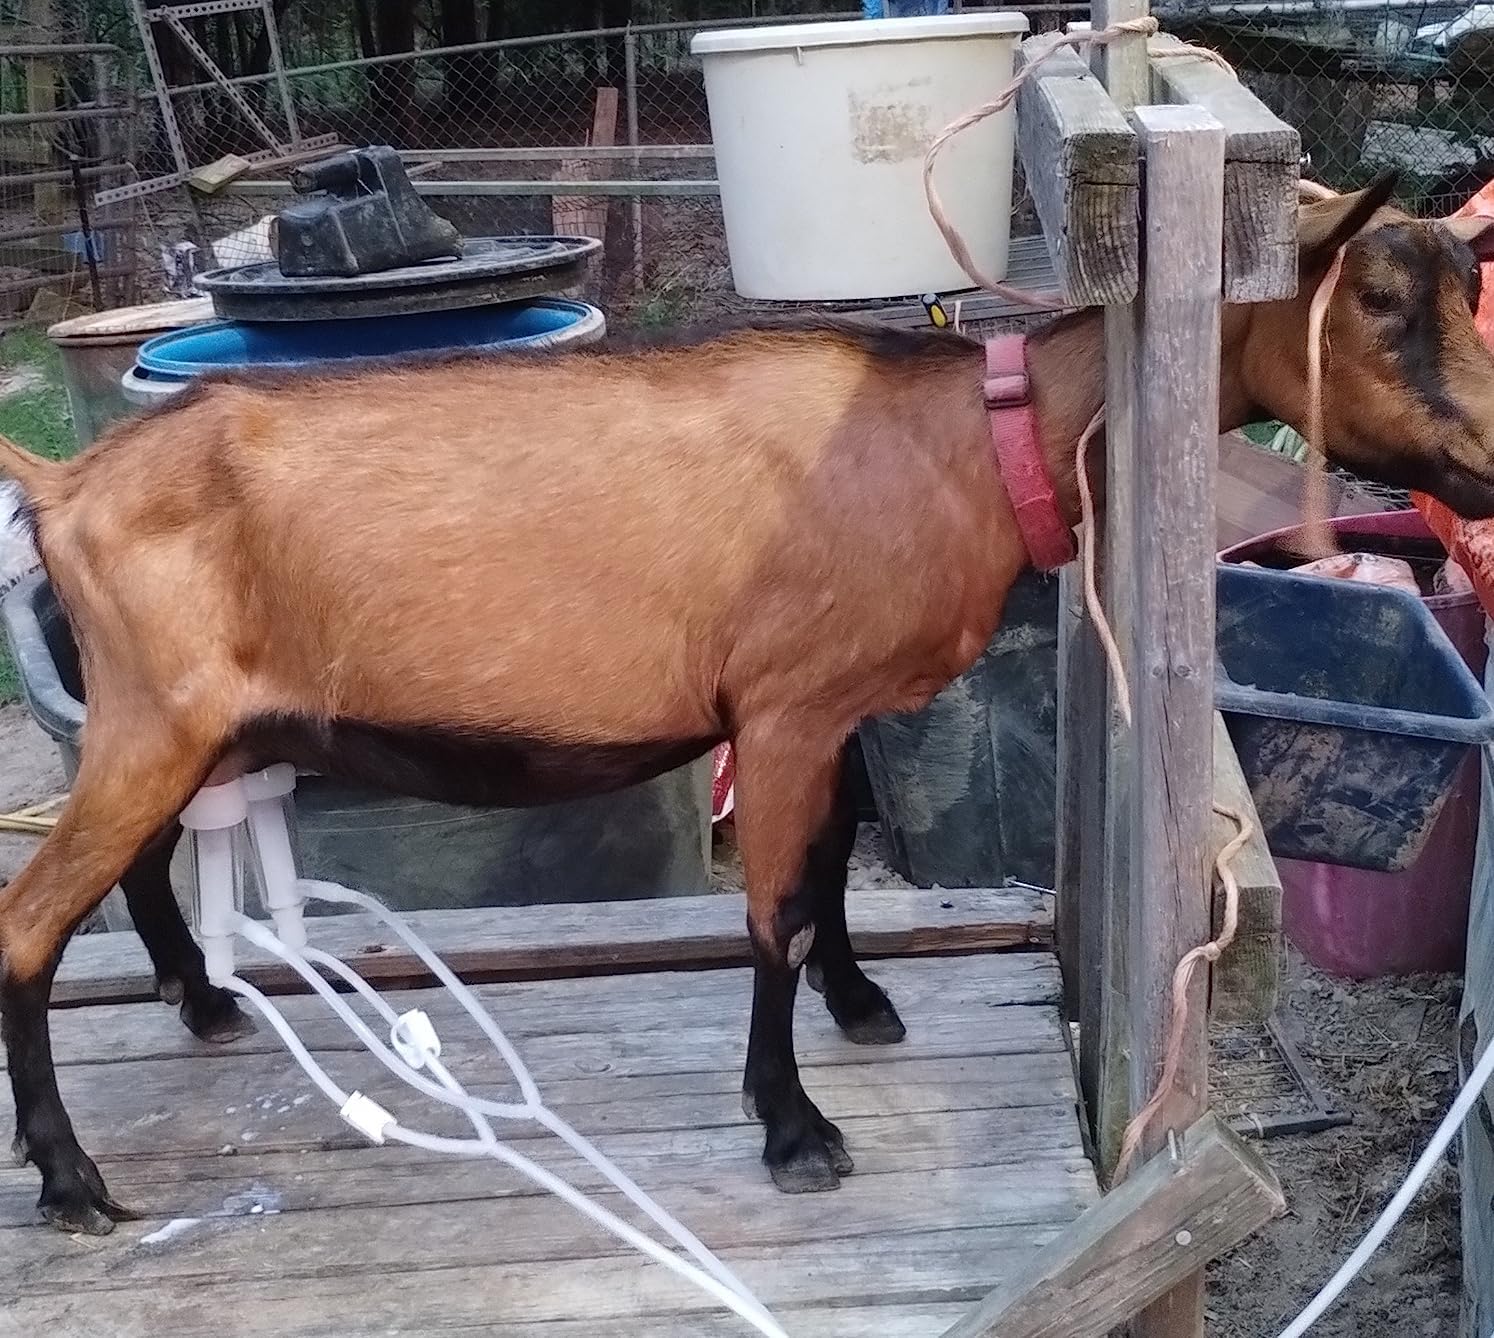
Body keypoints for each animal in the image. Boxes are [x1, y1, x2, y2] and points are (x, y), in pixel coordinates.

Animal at [2, 174, 1494, 1235]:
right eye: (1375, 295)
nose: (1486, 458)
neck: (964, 442)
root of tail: (67, 482)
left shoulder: (830, 711)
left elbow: (828, 867)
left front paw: (861, 1002)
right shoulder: (779, 707)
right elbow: (770, 908)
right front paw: (793, 1127)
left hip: (185, 722)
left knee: (136, 870)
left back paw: (201, 1004)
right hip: (153, 716)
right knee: (31, 918)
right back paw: (73, 1184)